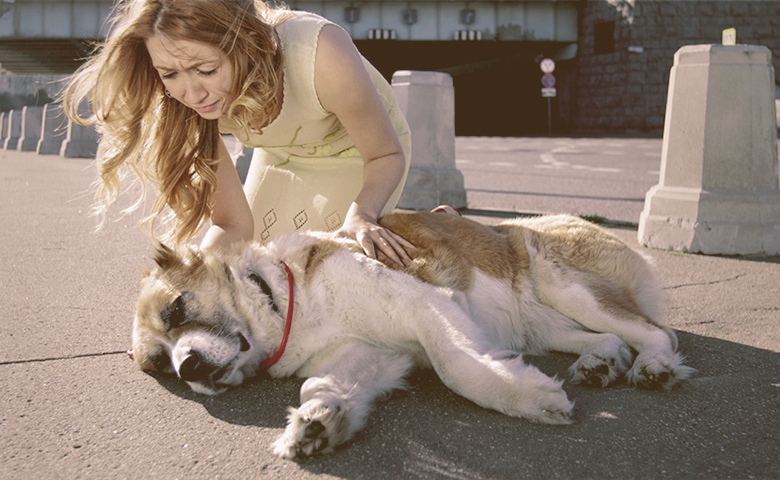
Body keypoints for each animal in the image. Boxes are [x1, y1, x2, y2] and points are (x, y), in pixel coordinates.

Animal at [133, 213, 696, 458]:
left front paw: (530, 399)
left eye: (177, 309)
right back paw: (600, 362)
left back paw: (655, 366)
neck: (285, 299)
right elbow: (321, 385)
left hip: (565, 287)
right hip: (541, 325)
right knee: (605, 338)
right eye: (160, 365)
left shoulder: (425, 306)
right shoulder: (373, 354)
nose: (188, 367)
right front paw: (317, 423)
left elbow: (456, 366)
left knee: (656, 331)